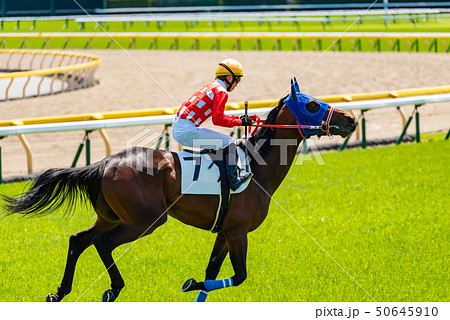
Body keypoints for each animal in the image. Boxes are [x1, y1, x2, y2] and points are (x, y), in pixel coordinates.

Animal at [2, 79, 356, 302]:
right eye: (312, 104)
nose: (350, 119)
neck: (257, 169)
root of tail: (103, 163)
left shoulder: (224, 231)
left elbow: (211, 276)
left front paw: (195, 286)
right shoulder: (238, 231)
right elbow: (239, 275)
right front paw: (189, 283)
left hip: (111, 216)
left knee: (79, 240)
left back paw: (59, 292)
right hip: (145, 220)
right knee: (103, 243)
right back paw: (113, 288)